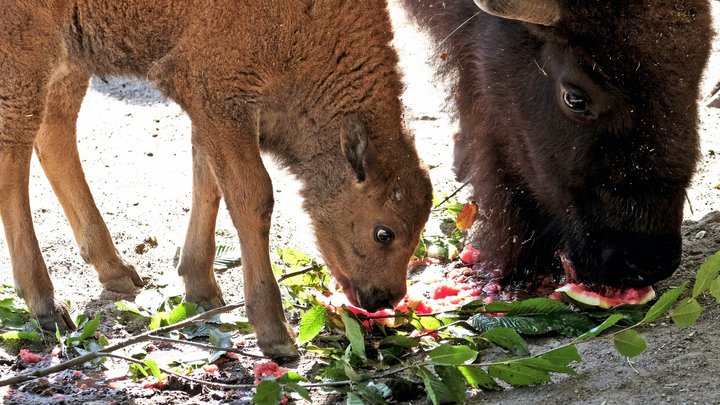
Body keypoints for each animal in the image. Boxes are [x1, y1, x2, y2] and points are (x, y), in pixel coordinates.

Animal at [0, 0, 434, 360]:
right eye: (384, 233)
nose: (384, 298)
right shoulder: (218, 90)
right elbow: (253, 196)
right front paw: (275, 335)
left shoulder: (215, 109)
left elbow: (208, 180)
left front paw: (201, 288)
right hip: (26, 54)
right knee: (14, 154)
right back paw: (46, 305)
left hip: (69, 57)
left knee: (54, 134)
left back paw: (117, 272)